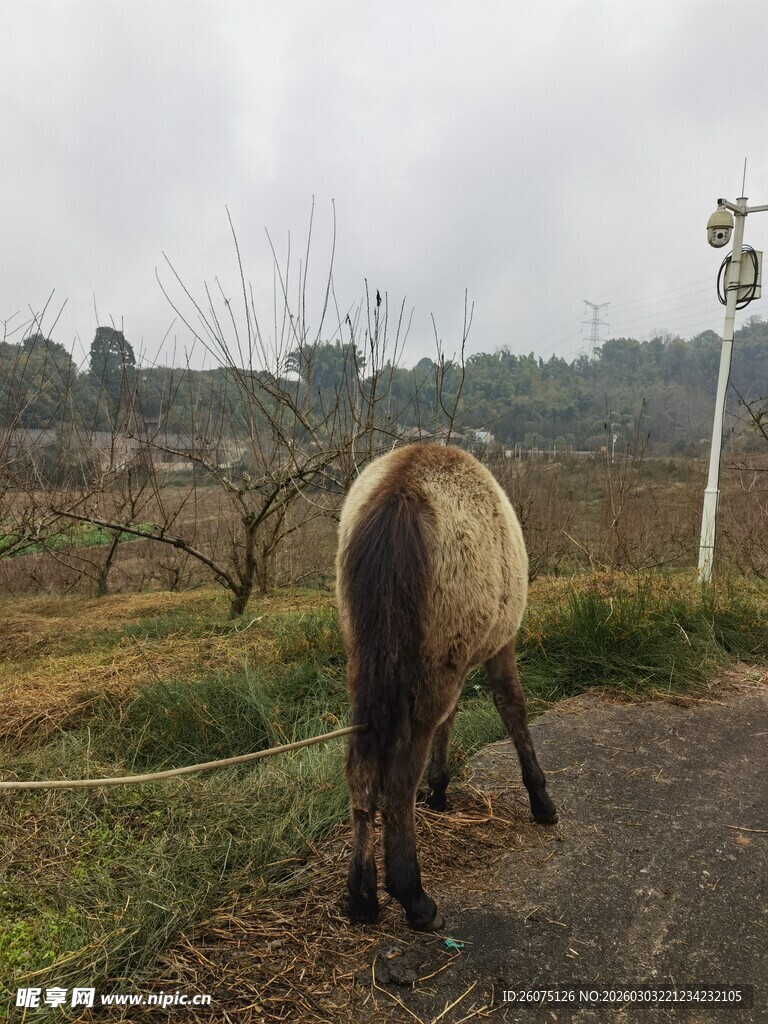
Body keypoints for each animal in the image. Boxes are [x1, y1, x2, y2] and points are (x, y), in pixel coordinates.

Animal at [335, 443, 557, 932]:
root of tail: (399, 490)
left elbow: (451, 722)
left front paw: (438, 790)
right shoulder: (501, 646)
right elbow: (513, 708)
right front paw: (541, 799)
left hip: (371, 666)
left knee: (362, 772)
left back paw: (362, 896)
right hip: (431, 673)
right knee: (399, 779)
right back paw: (413, 895)